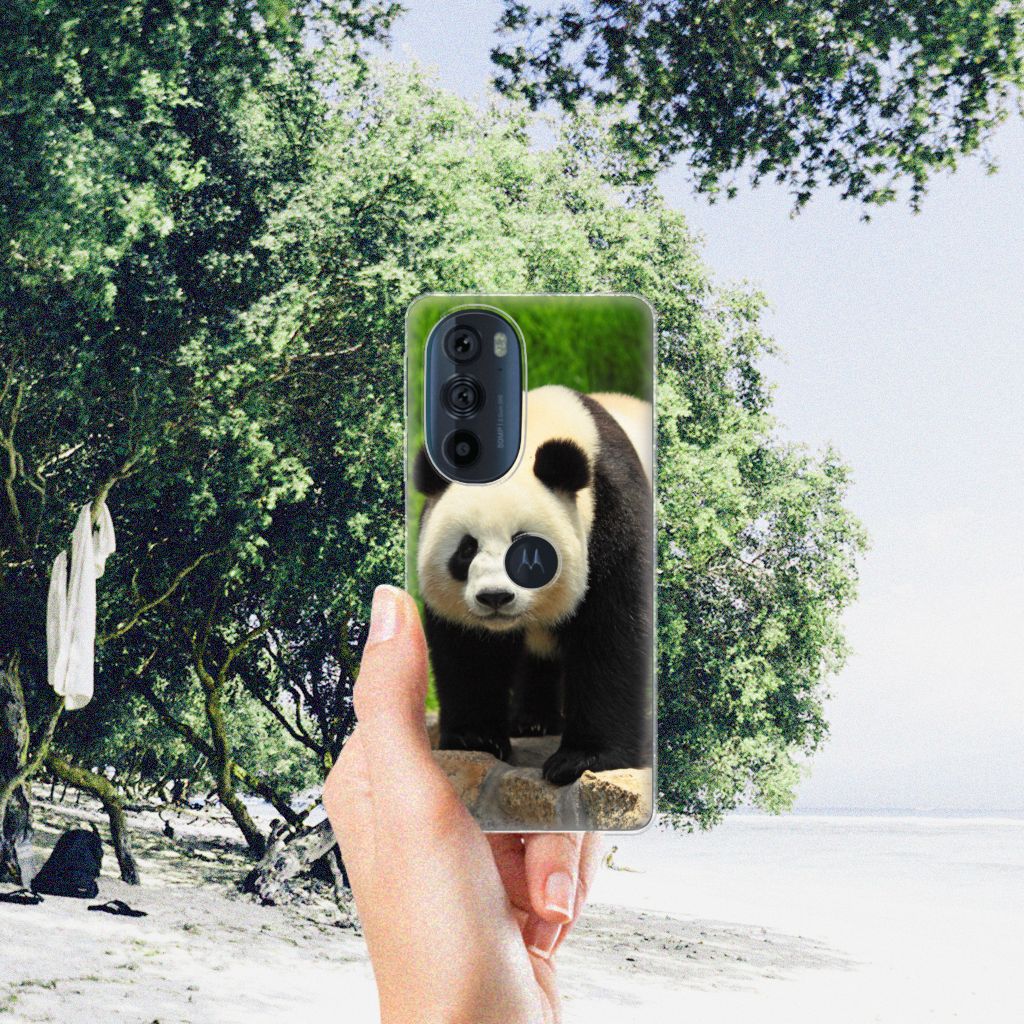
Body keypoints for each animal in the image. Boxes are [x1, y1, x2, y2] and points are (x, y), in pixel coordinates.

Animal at [414, 384, 653, 785]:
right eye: (466, 549)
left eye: (528, 550)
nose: (495, 597)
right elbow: (469, 651)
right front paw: (475, 738)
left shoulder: (614, 519)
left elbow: (611, 637)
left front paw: (582, 758)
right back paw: (532, 721)